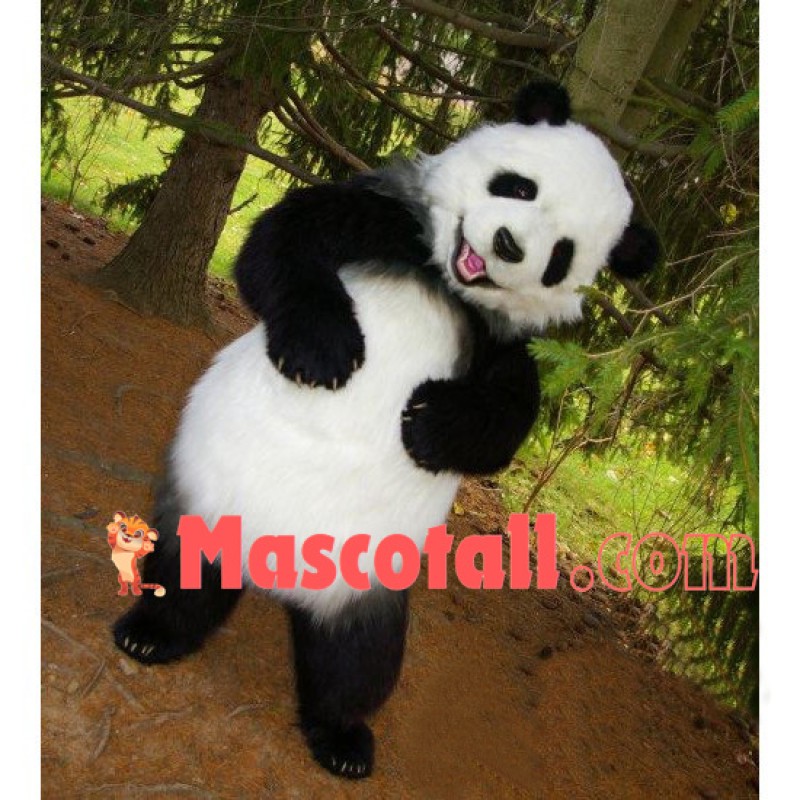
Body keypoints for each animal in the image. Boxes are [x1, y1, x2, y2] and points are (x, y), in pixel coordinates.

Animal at [112, 81, 659, 780]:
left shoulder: (497, 339)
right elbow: (281, 243)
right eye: (518, 186)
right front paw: (321, 353)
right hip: (205, 497)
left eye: (560, 255)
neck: (448, 280)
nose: (508, 246)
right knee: (183, 576)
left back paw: (342, 741)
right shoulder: (384, 221)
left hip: (366, 582)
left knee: (354, 662)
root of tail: (269, 574)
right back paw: (150, 633)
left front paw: (429, 425)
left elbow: (508, 412)